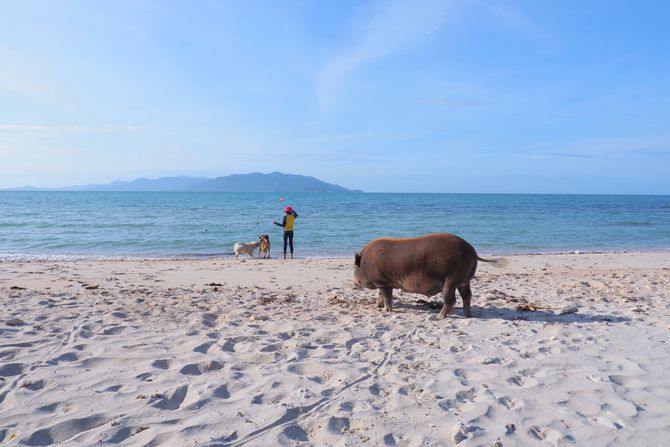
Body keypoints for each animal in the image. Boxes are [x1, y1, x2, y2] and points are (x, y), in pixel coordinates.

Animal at [356, 233, 498, 320]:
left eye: (355, 266)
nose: (355, 283)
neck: (365, 262)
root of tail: (472, 252)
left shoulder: (382, 282)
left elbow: (387, 297)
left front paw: (386, 311)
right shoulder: (384, 283)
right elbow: (381, 295)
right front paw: (377, 307)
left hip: (451, 280)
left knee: (451, 300)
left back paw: (439, 317)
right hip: (464, 281)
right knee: (467, 296)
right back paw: (467, 315)